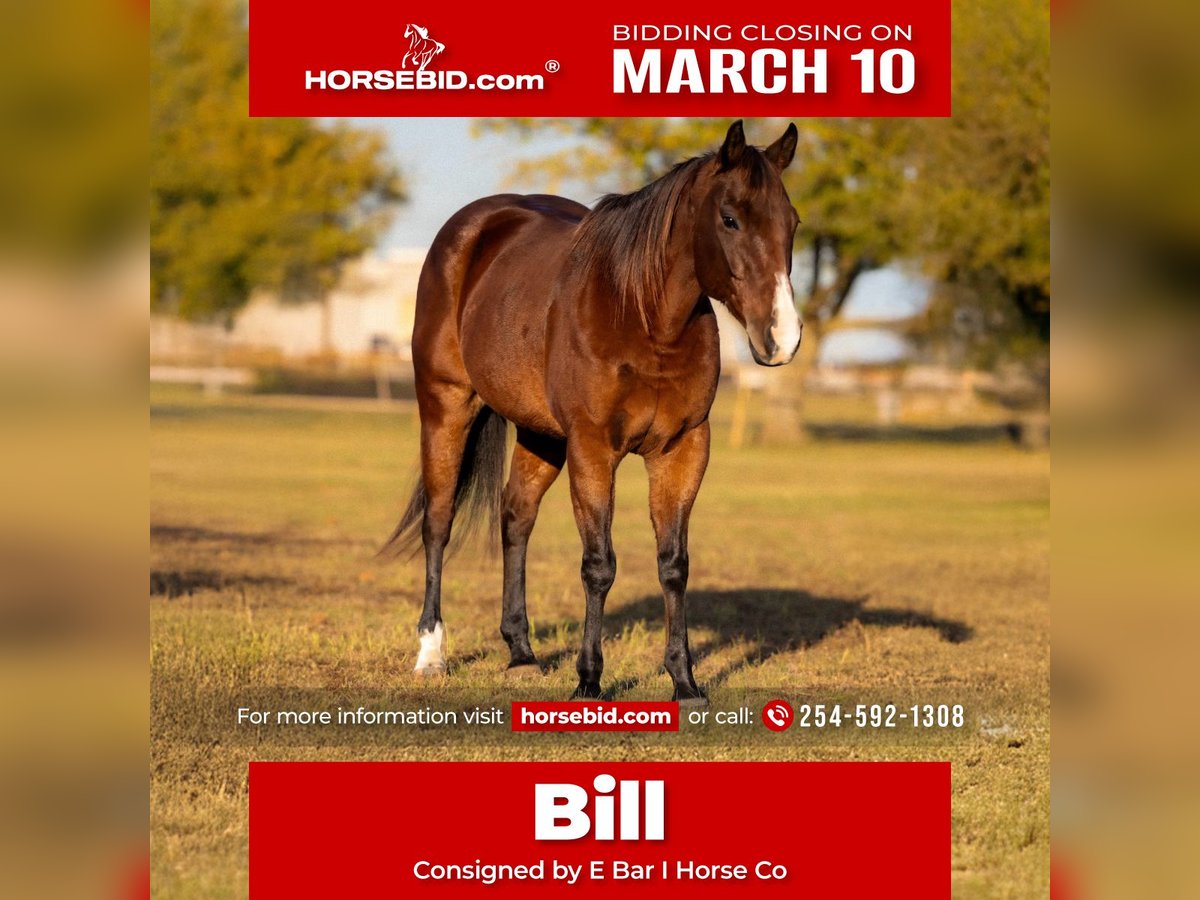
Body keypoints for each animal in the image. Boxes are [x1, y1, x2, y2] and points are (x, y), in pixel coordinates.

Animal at [379, 120, 801, 700]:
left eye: (793, 223)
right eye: (730, 218)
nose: (782, 337)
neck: (642, 317)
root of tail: (474, 227)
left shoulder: (683, 449)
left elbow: (674, 565)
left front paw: (684, 681)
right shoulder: (594, 450)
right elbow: (599, 565)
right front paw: (589, 680)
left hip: (541, 435)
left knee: (516, 518)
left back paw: (521, 652)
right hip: (445, 405)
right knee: (438, 522)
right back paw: (431, 654)